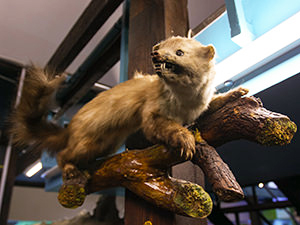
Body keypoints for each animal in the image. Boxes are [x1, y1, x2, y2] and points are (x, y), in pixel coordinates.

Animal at [10, 36, 247, 178]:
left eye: (179, 52)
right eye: (159, 46)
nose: (154, 53)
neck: (186, 102)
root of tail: (71, 126)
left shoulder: (201, 106)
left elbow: (215, 103)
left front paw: (239, 92)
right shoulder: (151, 111)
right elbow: (161, 127)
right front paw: (185, 140)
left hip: (106, 144)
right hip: (85, 142)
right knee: (64, 154)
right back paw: (70, 170)